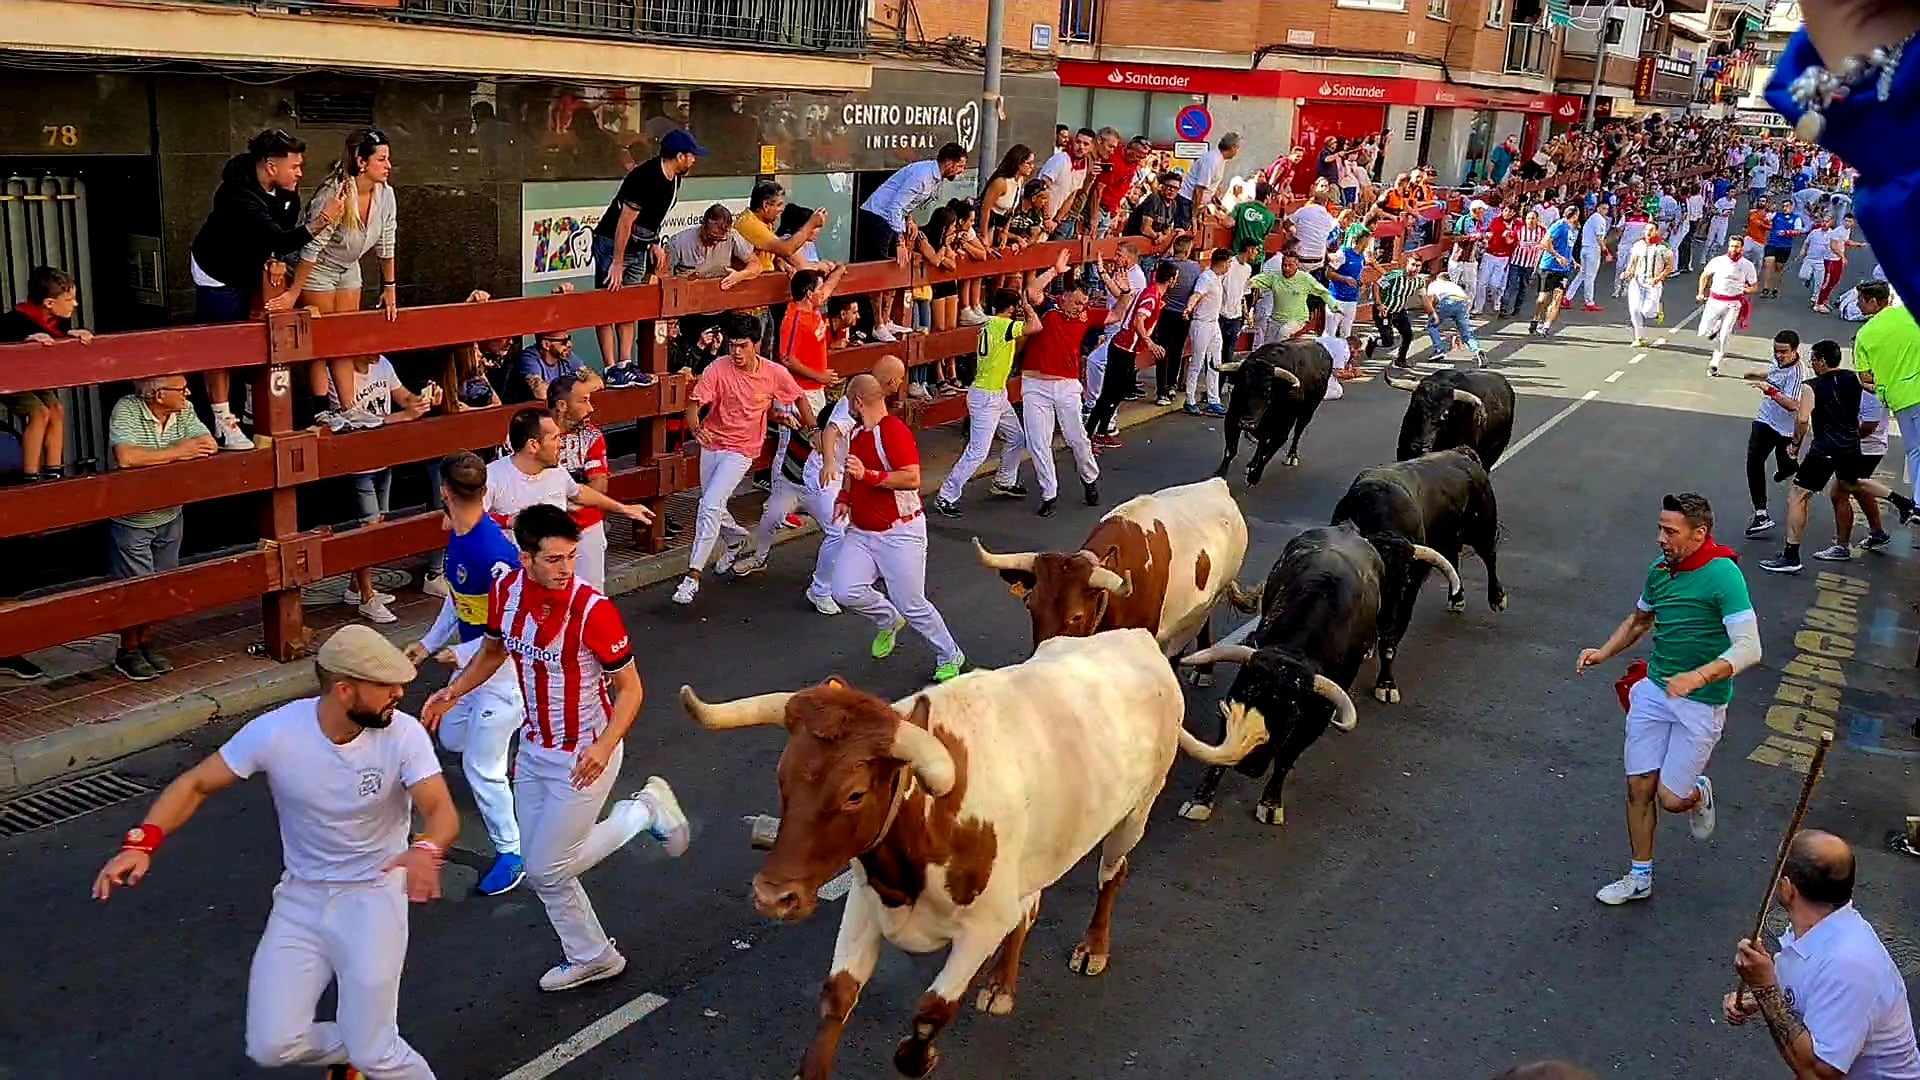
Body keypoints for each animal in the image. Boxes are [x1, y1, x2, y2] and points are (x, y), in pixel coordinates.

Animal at [675, 622, 1182, 1076]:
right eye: (783, 776)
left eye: (855, 794)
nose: (772, 896)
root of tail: (1136, 637)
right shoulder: (866, 901)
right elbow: (838, 994)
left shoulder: (982, 926)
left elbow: (931, 1011)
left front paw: (920, 1058)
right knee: (1030, 907)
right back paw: (1001, 985)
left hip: (1135, 813)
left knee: (1112, 874)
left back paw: (1093, 946)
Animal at [1213, 340, 1336, 484]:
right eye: (1240, 386)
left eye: (1267, 391)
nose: (1247, 424)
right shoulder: (1232, 419)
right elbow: (1231, 450)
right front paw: (1219, 474)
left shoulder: (1282, 431)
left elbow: (1267, 454)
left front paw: (1254, 476)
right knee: (1262, 442)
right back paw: (1252, 463)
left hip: (1307, 412)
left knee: (1297, 432)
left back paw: (1291, 456)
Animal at [1328, 443, 1505, 703]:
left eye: (1403, 581)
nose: (1383, 622)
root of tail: (1462, 452)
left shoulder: (1409, 592)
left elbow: (1391, 643)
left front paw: (1386, 685)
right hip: (1449, 538)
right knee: (1454, 561)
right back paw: (1456, 598)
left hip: (1482, 527)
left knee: (1490, 556)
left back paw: (1497, 598)